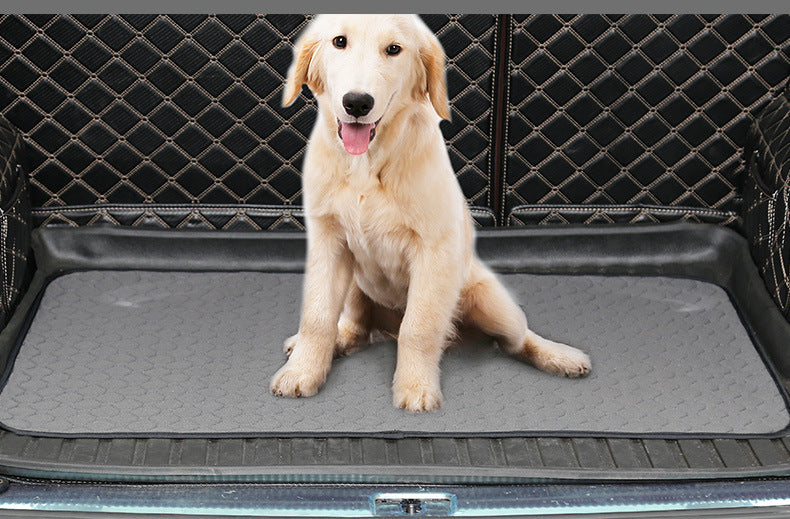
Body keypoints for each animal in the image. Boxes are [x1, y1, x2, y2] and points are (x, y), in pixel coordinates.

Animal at [270, 14, 592, 414]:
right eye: (339, 41)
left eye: (394, 49)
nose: (357, 103)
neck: (367, 164)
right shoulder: (328, 243)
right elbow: (317, 316)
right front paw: (303, 371)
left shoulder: (433, 250)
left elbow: (418, 327)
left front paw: (415, 386)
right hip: (357, 287)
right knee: (357, 328)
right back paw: (332, 341)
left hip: (491, 302)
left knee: (517, 339)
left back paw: (558, 356)